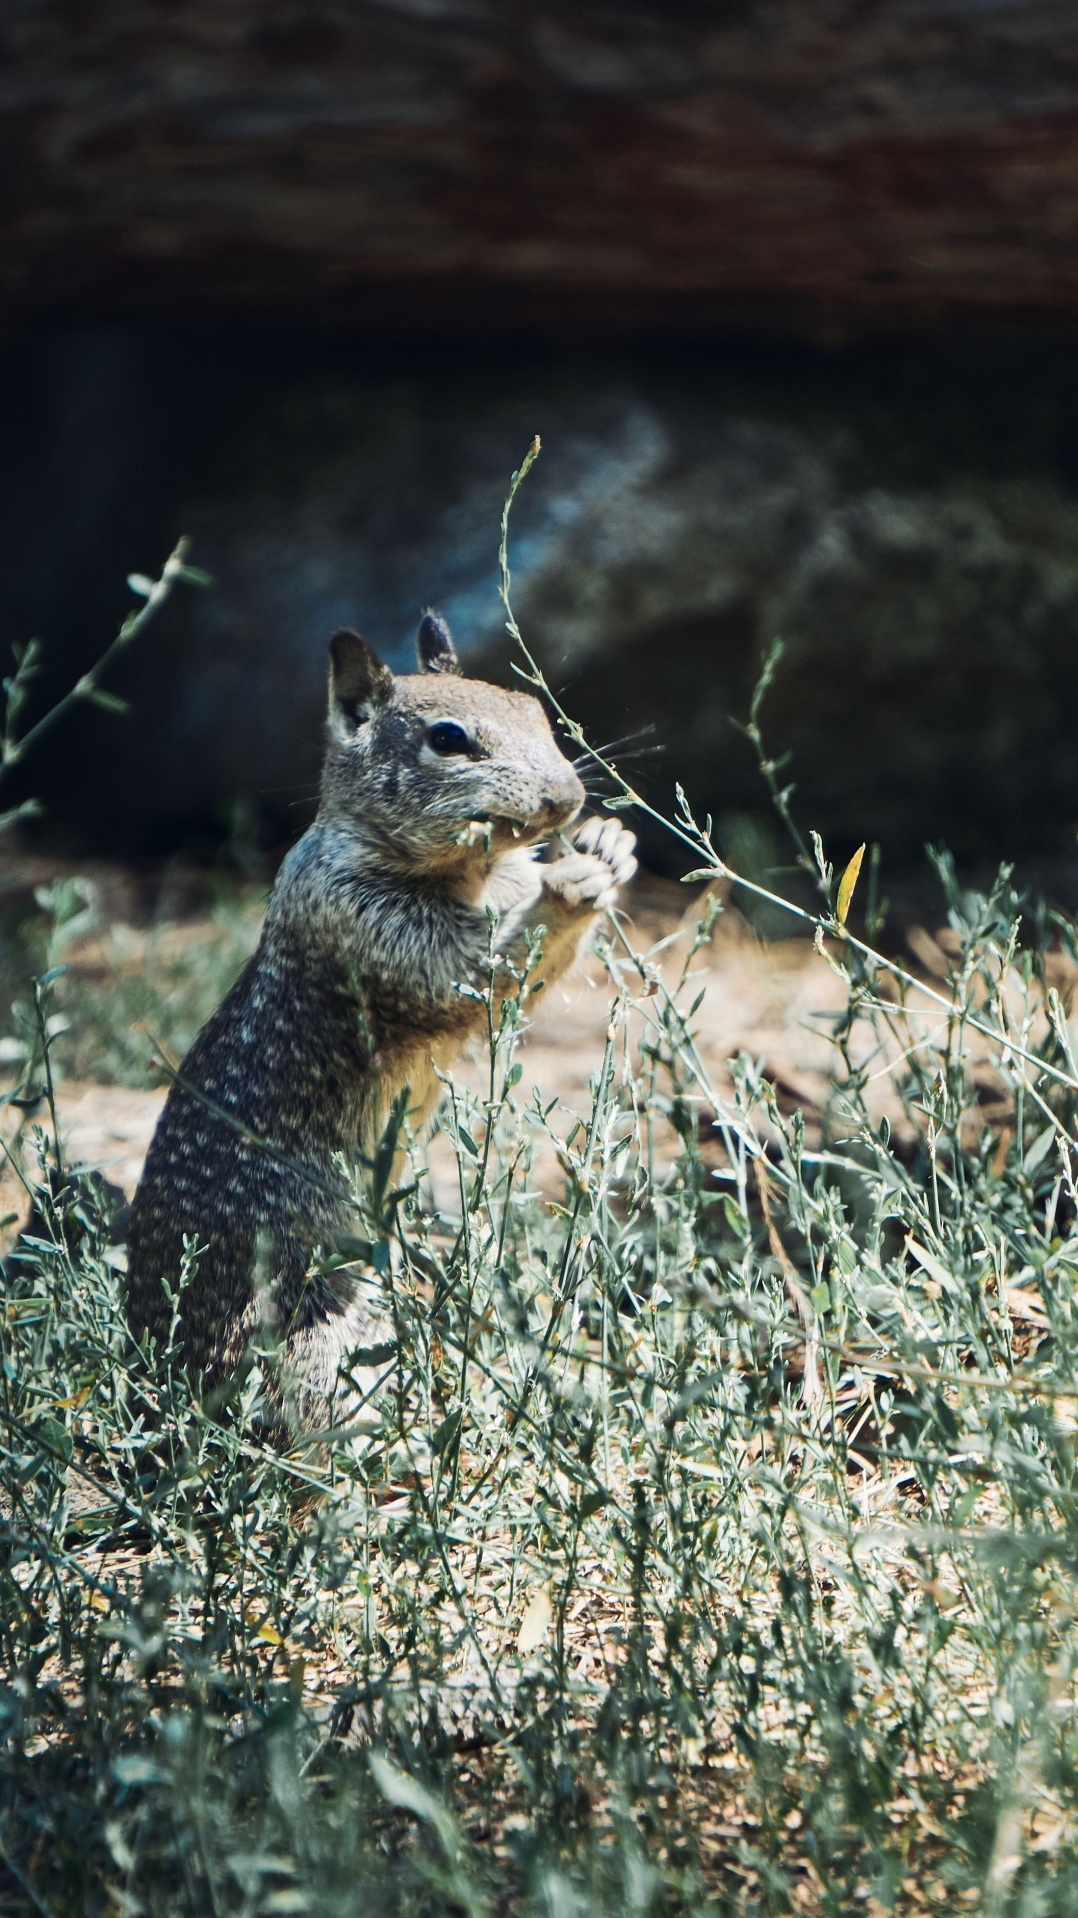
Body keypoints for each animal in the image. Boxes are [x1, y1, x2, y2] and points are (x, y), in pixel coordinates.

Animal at [124, 613, 632, 1426]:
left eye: (535, 710)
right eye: (448, 739)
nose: (566, 799)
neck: (471, 875)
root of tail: (151, 1365)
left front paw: (608, 847)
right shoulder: (365, 923)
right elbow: (472, 976)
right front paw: (570, 884)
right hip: (310, 1325)